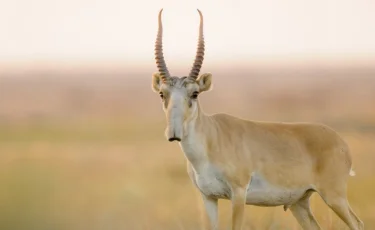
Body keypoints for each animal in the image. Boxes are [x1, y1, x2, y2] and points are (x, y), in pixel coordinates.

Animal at [151, 8, 364, 230]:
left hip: (334, 196)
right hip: (299, 202)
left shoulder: (238, 193)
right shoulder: (208, 197)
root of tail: (340, 141)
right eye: (162, 94)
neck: (211, 138)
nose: (173, 133)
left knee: (357, 223)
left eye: (194, 93)